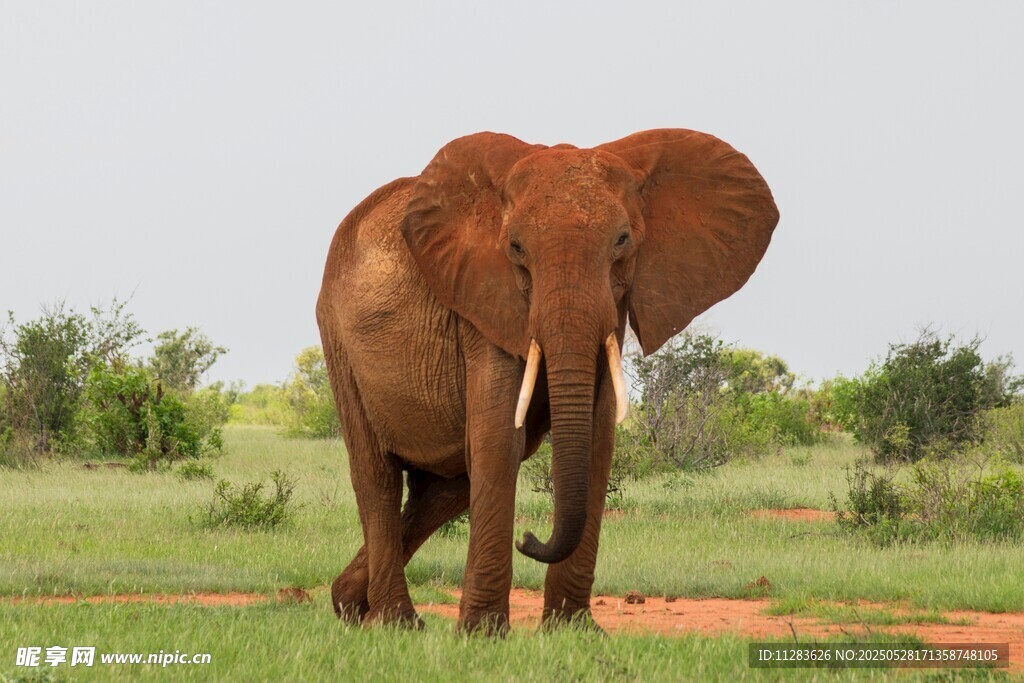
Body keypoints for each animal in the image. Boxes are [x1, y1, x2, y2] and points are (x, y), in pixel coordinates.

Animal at [316, 128, 779, 633]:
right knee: (377, 476)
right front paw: (482, 635)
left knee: (445, 490)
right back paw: (395, 623)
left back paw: (349, 604)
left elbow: (596, 440)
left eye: (622, 240)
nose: (529, 538)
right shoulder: (484, 301)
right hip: (338, 339)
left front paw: (573, 631)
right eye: (516, 248)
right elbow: (501, 438)